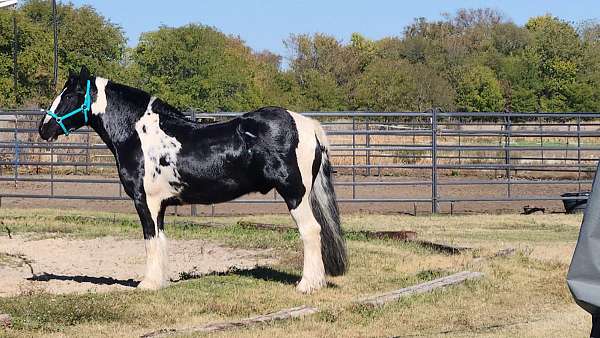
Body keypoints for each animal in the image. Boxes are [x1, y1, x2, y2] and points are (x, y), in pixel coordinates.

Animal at [38, 66, 346, 294]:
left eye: (69, 96)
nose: (44, 129)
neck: (139, 134)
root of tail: (307, 124)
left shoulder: (144, 202)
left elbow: (150, 240)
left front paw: (147, 284)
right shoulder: (160, 205)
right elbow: (161, 240)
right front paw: (160, 282)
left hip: (295, 194)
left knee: (311, 231)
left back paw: (307, 285)